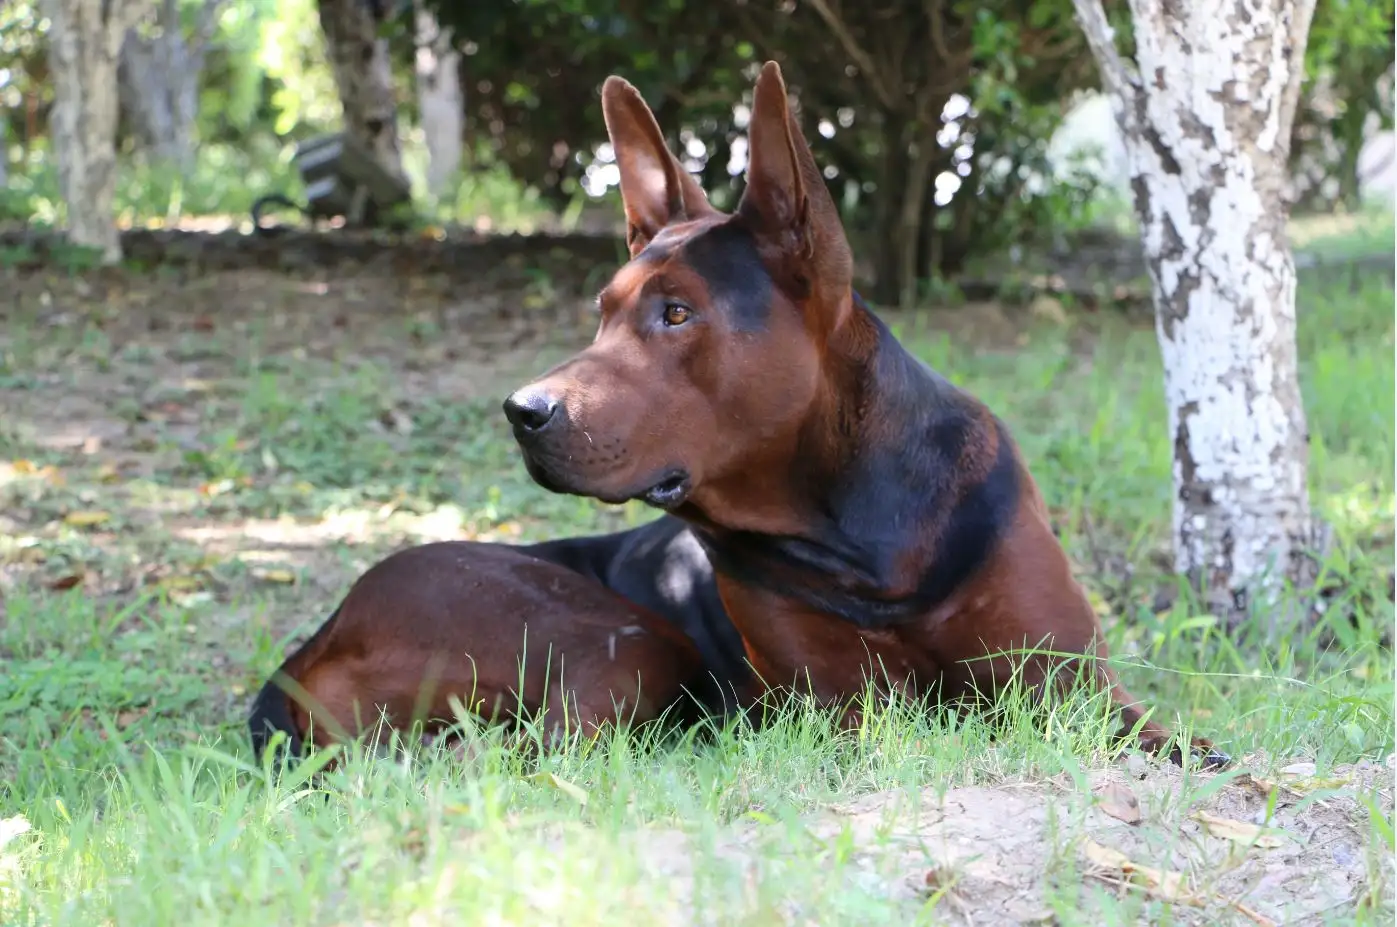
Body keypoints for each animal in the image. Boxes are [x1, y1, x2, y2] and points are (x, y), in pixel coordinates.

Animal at [502, 61, 1223, 765]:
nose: (521, 411)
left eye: (676, 312)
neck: (862, 542)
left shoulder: (1077, 686)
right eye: (603, 313)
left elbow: (1172, 739)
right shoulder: (842, 708)